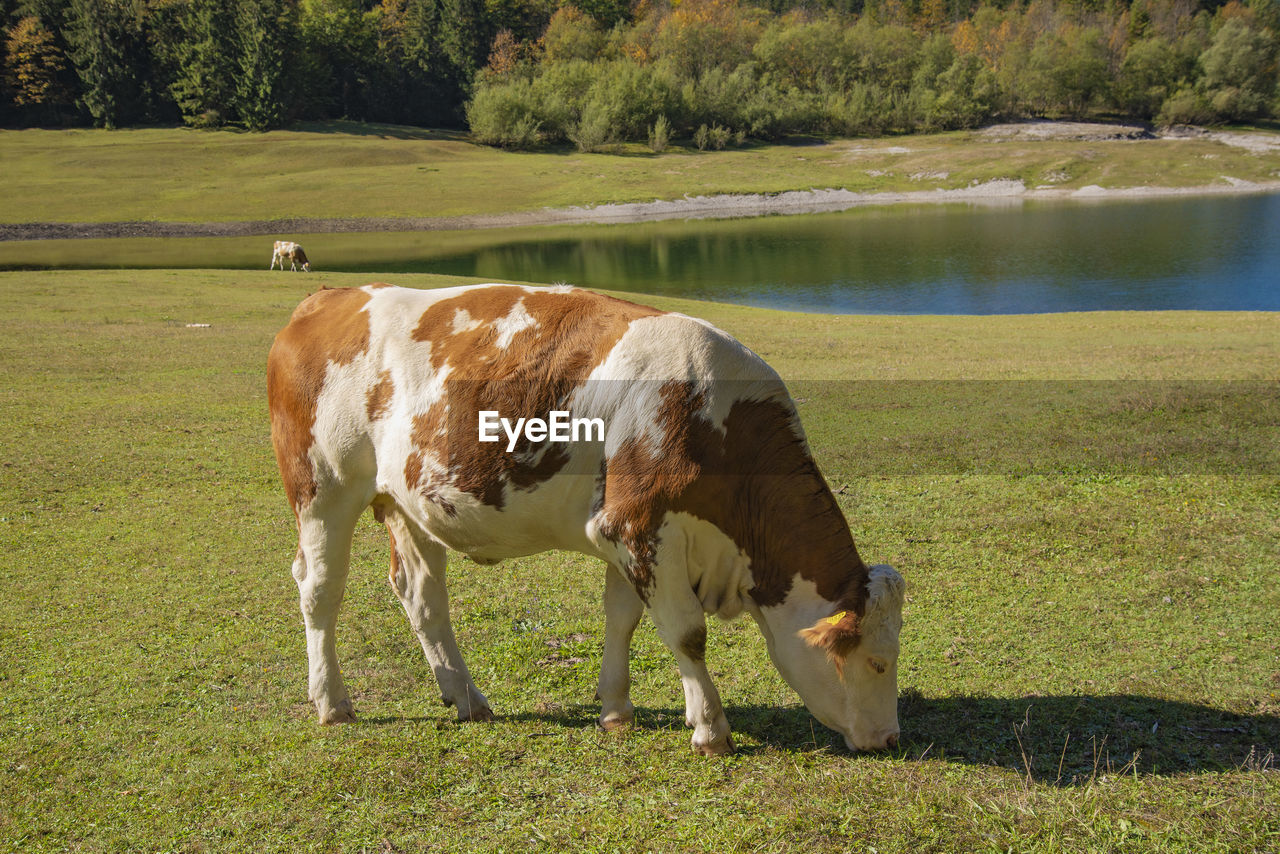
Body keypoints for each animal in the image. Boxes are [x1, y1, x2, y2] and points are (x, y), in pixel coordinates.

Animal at [264, 281, 906, 752]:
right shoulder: (638, 527)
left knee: (422, 596)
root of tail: (330, 296)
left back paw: (467, 699)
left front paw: (616, 710)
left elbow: (622, 619)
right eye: (877, 662)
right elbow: (687, 633)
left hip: (408, 502)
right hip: (323, 490)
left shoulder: (621, 534)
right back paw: (332, 703)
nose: (889, 739)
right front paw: (710, 729)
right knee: (319, 590)